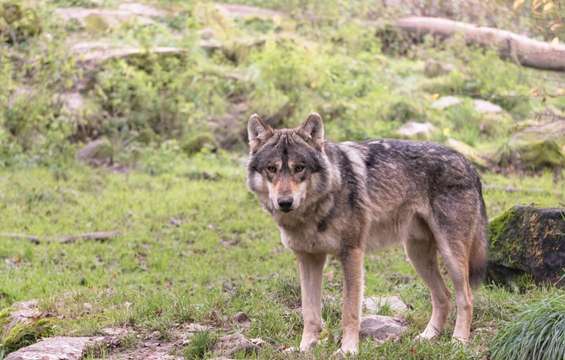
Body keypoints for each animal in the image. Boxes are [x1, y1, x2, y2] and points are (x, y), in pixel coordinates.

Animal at [245, 112, 486, 354]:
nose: (285, 202)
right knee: (443, 296)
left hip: (449, 255)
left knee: (466, 297)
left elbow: (349, 311)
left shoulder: (352, 253)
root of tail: (468, 162)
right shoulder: (308, 259)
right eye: (272, 169)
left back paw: (459, 342)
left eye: (299, 168)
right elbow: (310, 313)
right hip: (416, 255)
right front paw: (305, 348)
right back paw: (428, 337)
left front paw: (348, 350)